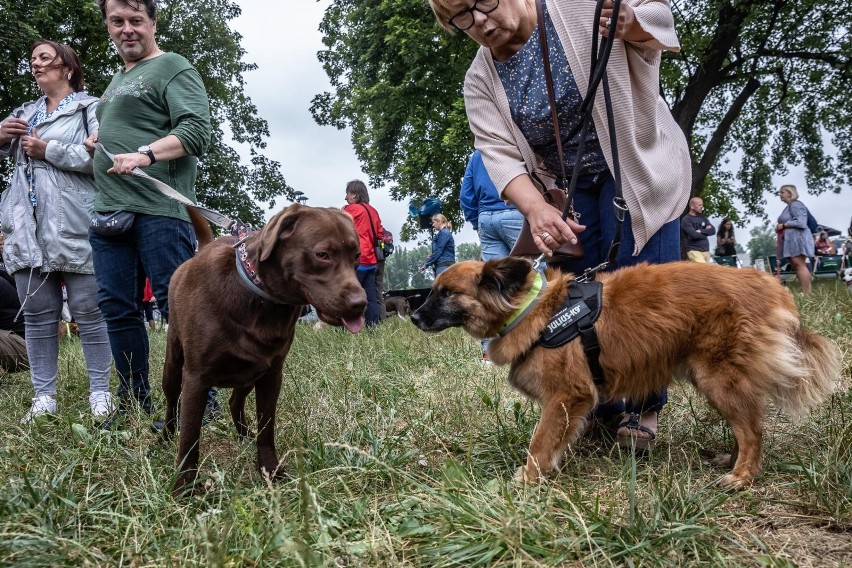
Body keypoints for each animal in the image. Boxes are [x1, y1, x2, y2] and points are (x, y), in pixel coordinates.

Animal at [412, 258, 840, 488]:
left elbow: (540, 441)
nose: (414, 316)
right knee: (748, 425)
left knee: (752, 429)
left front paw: (529, 478)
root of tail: (769, 283)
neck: (534, 311)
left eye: (446, 293)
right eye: (434, 290)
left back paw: (743, 475)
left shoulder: (567, 395)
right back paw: (731, 461)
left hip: (719, 378)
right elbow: (556, 438)